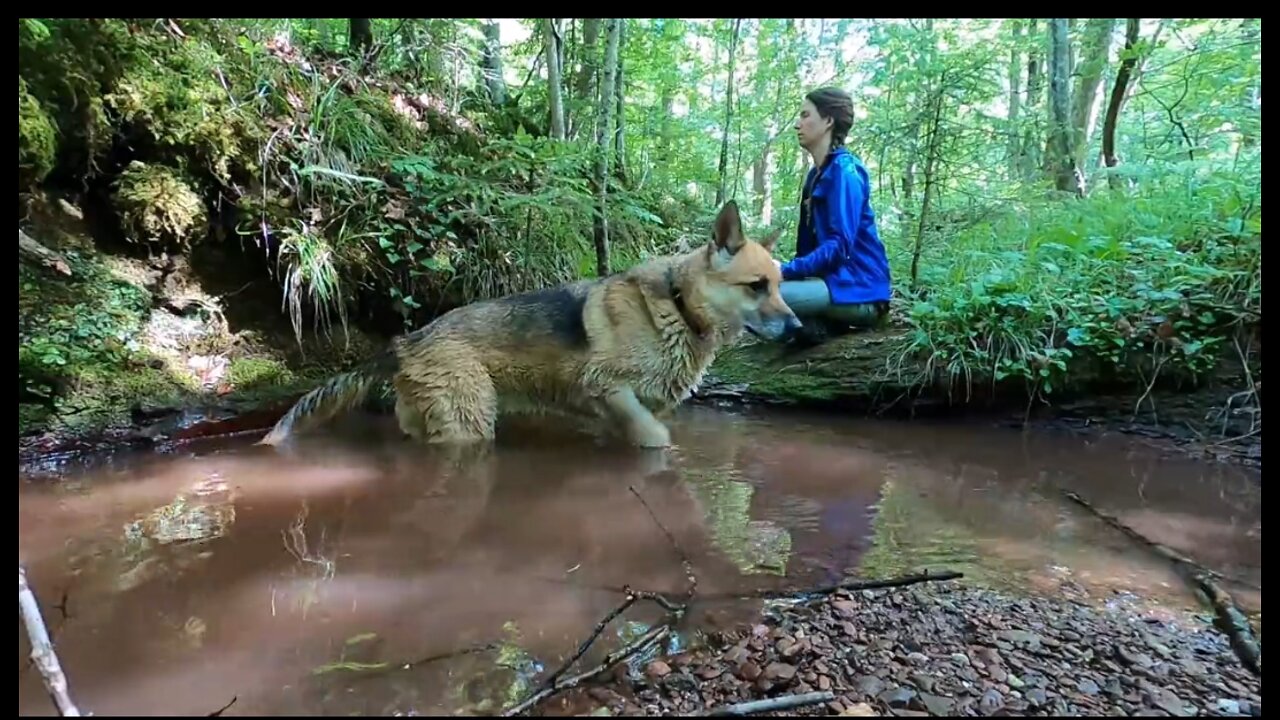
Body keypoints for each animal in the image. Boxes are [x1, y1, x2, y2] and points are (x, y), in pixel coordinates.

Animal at [258, 198, 798, 445]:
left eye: (779, 284)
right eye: (756, 286)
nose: (796, 329)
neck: (679, 307)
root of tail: (406, 342)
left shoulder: (629, 410)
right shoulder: (611, 390)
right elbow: (656, 442)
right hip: (470, 423)